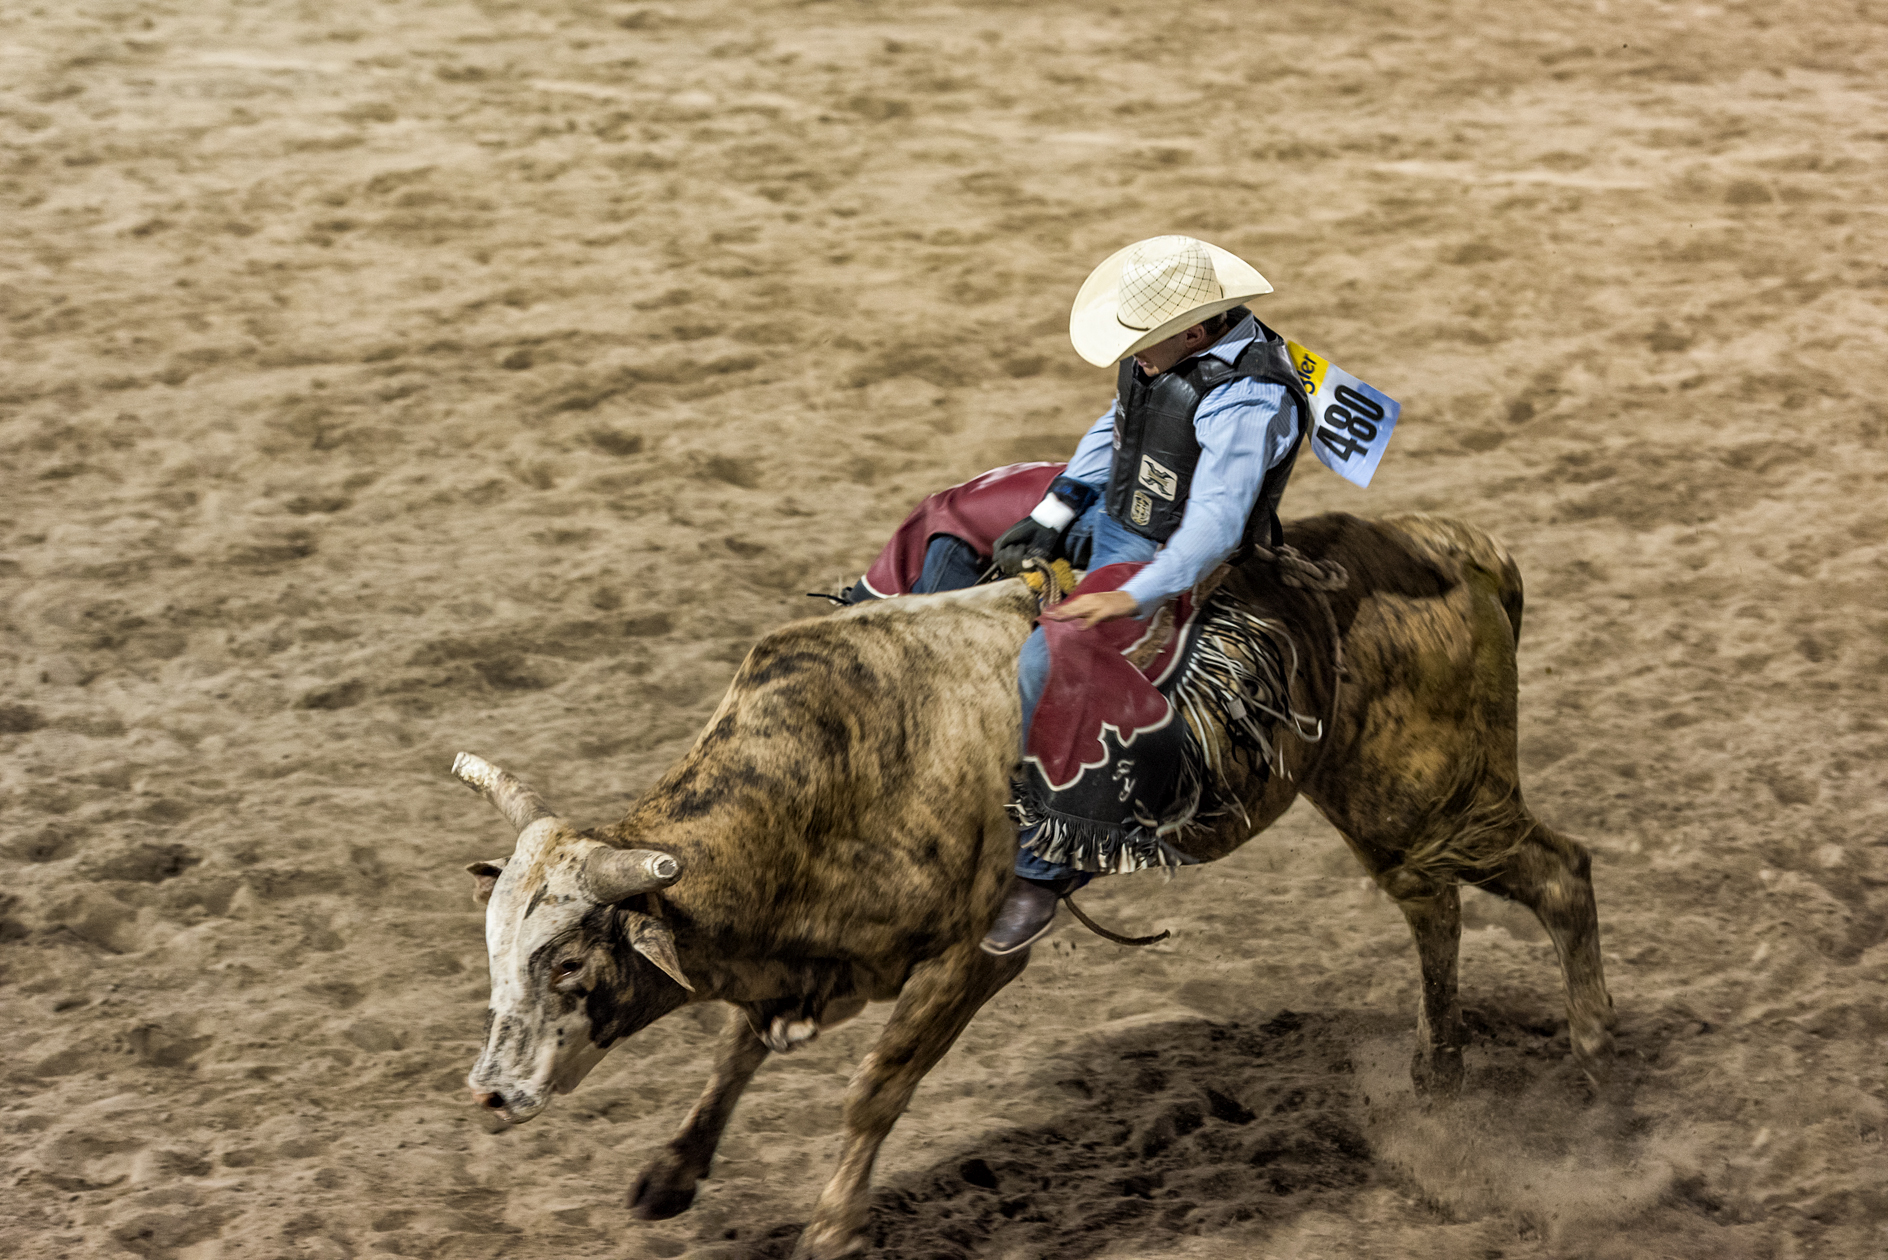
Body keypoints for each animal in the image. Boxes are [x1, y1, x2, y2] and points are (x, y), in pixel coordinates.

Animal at [453, 512, 1614, 1260]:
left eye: (569, 962)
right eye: (496, 951)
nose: (488, 1094)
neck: (831, 772)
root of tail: (1462, 549)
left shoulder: (968, 960)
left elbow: (876, 1086)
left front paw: (832, 1227)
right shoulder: (822, 961)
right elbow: (737, 1048)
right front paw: (672, 1172)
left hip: (1440, 794)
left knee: (1560, 879)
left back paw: (1595, 1076)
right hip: (1388, 806)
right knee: (1432, 905)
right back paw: (1437, 1074)